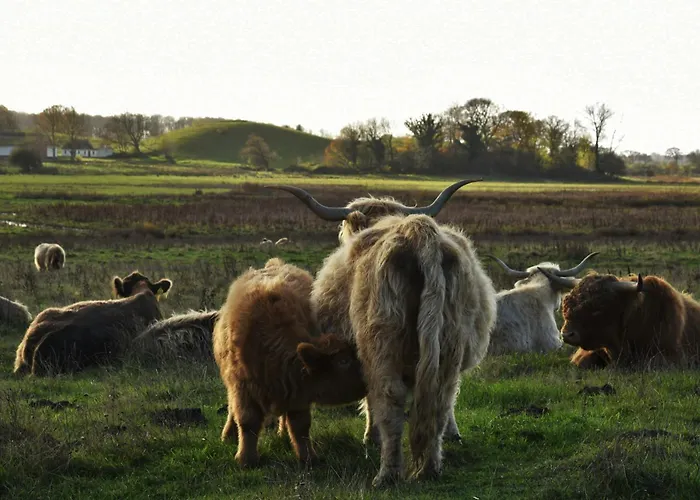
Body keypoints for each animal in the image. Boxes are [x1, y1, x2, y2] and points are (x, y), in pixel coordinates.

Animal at [213, 258, 367, 467]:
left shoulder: (299, 389)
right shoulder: (242, 386)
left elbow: (300, 425)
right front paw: (246, 458)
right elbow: (247, 421)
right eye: (344, 361)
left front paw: (308, 457)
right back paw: (228, 435)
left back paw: (282, 434)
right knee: (231, 409)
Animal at [268, 180, 497, 487]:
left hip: (381, 343)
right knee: (439, 398)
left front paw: (370, 437)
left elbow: (370, 399)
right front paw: (453, 434)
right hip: (449, 345)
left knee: (390, 401)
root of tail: (417, 232)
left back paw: (387, 473)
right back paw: (431, 467)